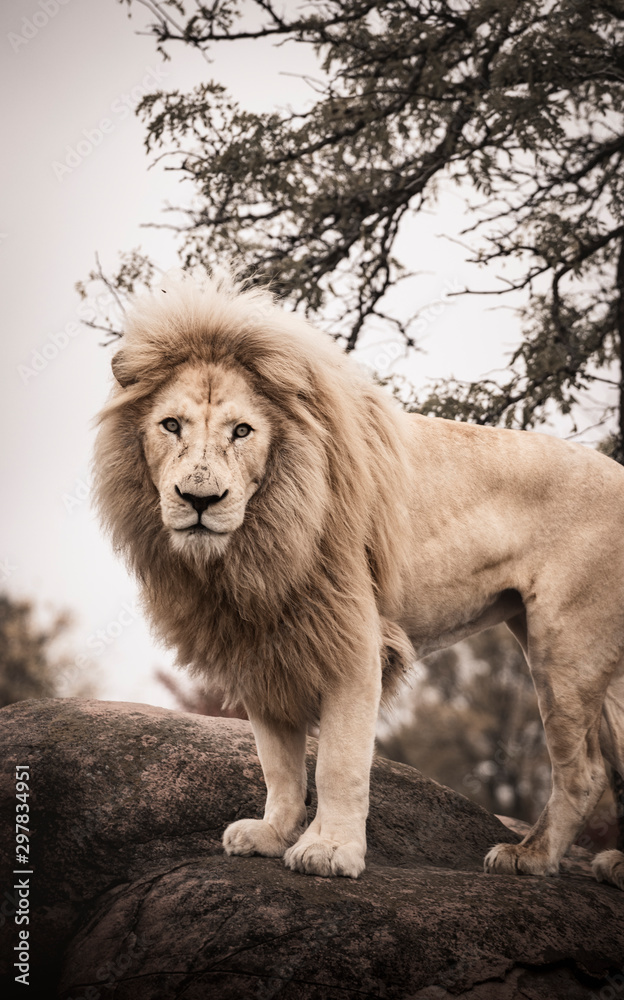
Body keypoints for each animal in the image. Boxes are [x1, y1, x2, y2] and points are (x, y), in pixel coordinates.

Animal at [94, 267, 624, 888]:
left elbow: (338, 763)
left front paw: (329, 851)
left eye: (243, 431)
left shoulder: (350, 639)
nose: (200, 500)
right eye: (170, 425)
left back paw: (531, 856)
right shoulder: (261, 645)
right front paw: (273, 834)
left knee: (583, 770)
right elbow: (278, 761)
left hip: (564, 644)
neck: (255, 546)